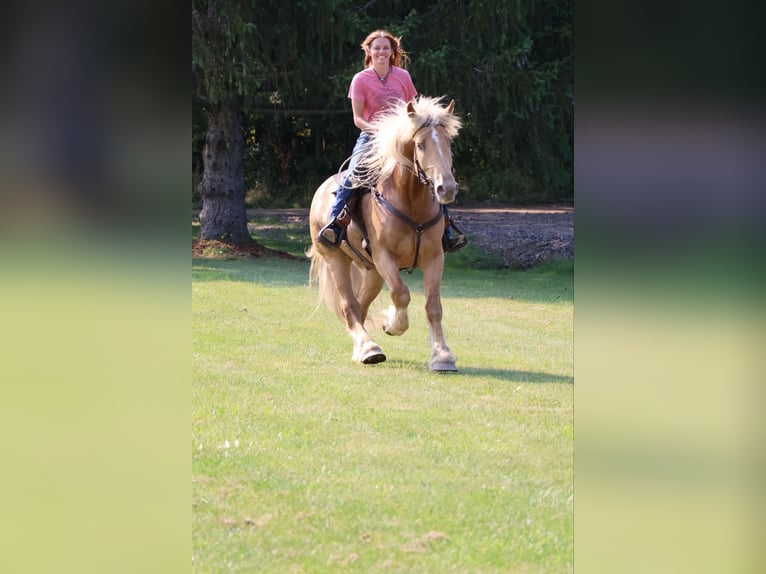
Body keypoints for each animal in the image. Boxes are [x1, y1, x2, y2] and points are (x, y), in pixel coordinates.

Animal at [308, 96, 464, 372]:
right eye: (420, 145)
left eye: (448, 143)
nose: (446, 188)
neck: (410, 202)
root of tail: (321, 190)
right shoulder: (385, 257)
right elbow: (401, 294)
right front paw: (394, 324)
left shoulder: (434, 258)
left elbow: (433, 306)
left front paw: (442, 355)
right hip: (336, 259)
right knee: (349, 306)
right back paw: (368, 349)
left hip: (372, 272)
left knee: (361, 306)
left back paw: (363, 346)